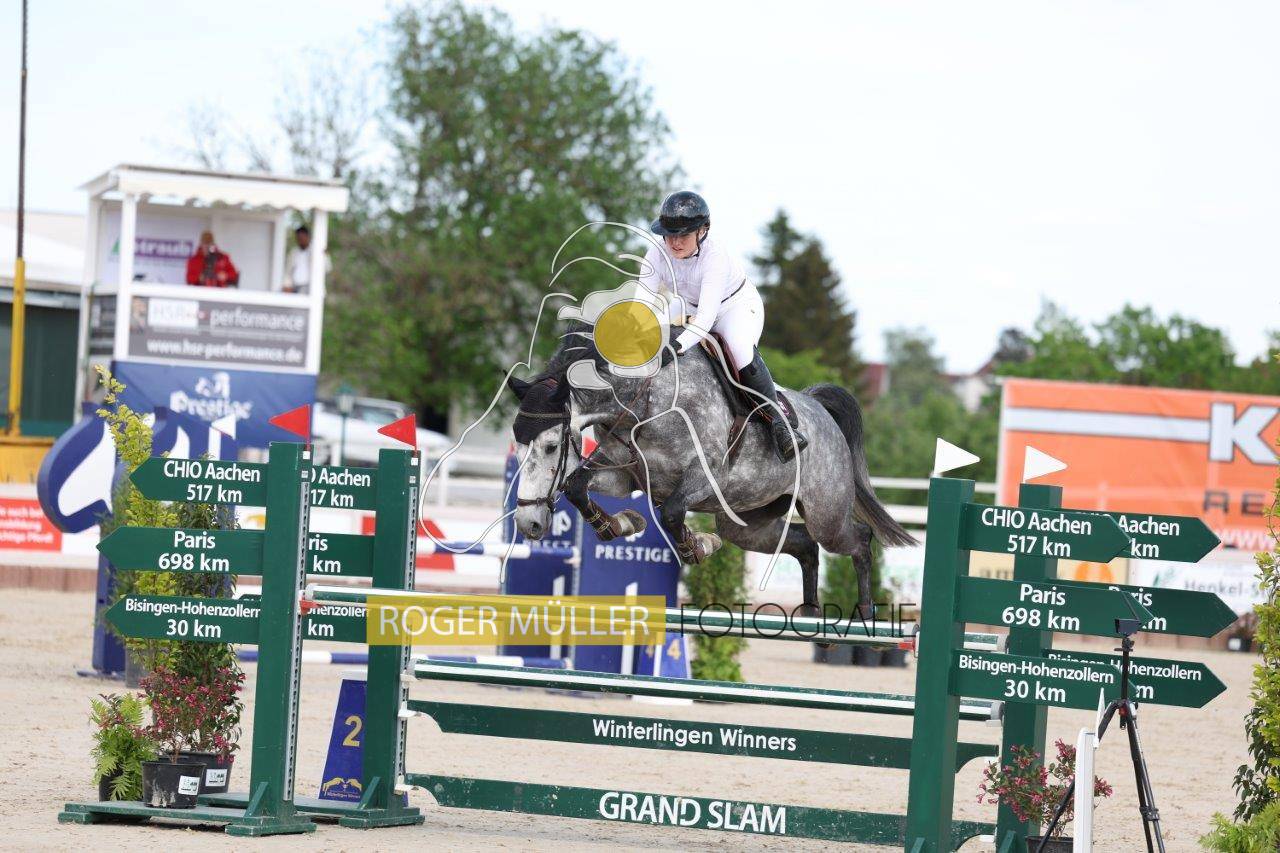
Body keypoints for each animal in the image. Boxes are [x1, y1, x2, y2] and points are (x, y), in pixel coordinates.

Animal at [507, 323, 915, 618]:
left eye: (551, 446)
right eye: (520, 447)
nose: (530, 524)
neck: (648, 402)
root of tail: (820, 410)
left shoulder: (706, 478)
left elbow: (672, 511)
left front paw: (696, 546)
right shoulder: (625, 474)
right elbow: (577, 485)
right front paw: (618, 524)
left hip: (825, 515)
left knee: (858, 539)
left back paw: (865, 613)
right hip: (747, 523)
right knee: (804, 545)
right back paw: (813, 614)